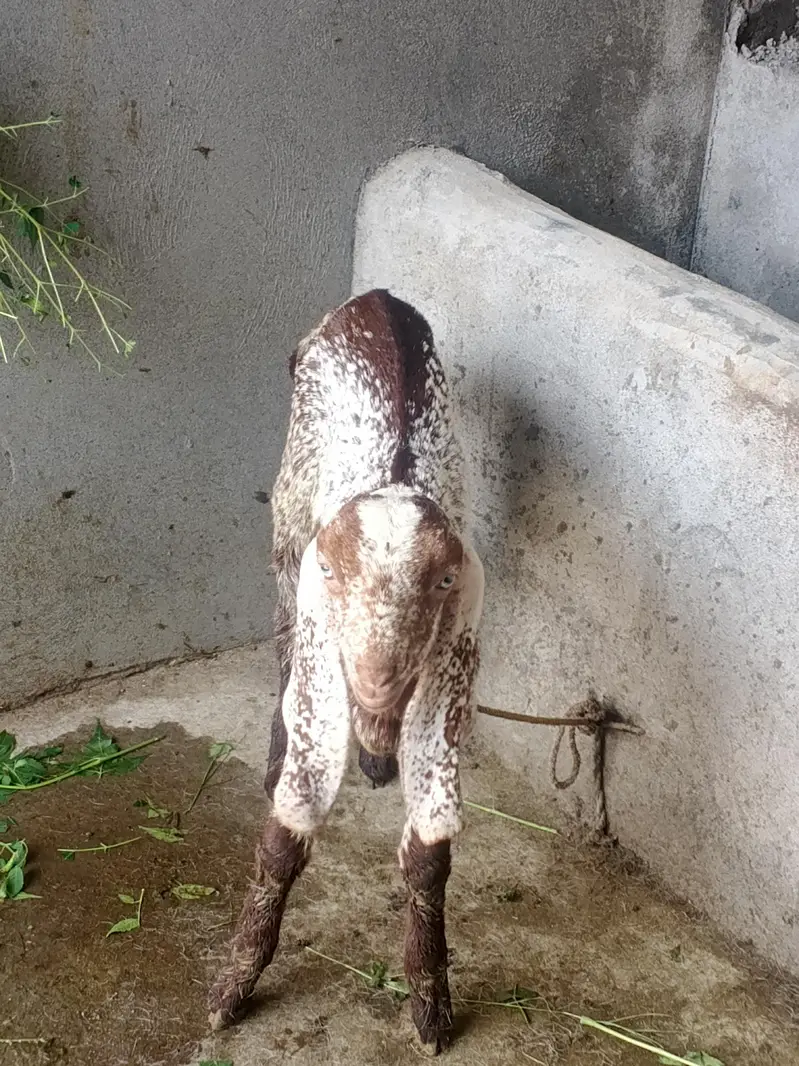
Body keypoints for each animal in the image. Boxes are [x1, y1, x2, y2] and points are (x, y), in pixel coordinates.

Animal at [208, 289, 484, 1053]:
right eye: (332, 573)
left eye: (443, 580)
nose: (375, 687)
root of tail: (374, 299)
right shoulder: (316, 640)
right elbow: (288, 825)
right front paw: (233, 987)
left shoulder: (455, 661)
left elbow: (432, 844)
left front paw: (429, 1002)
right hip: (286, 525)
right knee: (279, 641)